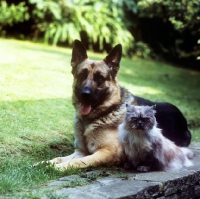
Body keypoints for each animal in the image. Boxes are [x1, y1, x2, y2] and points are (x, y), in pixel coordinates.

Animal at [46, 40, 191, 169]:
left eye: (100, 78)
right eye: (82, 75)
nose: (85, 94)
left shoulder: (107, 152)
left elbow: (77, 162)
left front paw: (58, 168)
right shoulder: (80, 152)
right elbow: (59, 158)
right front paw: (46, 163)